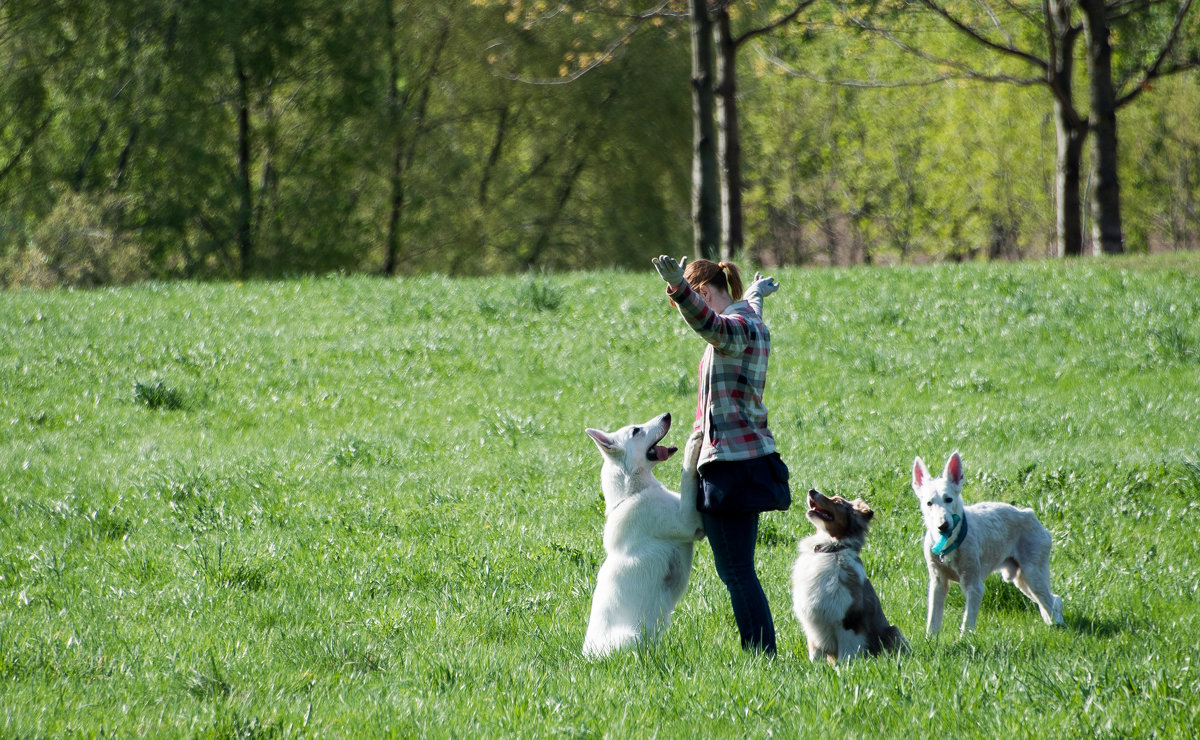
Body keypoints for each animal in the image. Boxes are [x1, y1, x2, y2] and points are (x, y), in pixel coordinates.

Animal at [578, 410, 700, 657]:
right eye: (636, 430)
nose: (667, 414)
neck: (631, 495)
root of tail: (587, 658)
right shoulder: (689, 522)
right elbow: (686, 475)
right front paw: (692, 446)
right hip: (631, 638)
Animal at [792, 486, 902, 662]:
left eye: (837, 500)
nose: (811, 490)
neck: (831, 549)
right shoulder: (813, 623)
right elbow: (815, 656)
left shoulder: (848, 621)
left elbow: (847, 654)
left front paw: (845, 667)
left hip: (893, 631)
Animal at [912, 450, 1065, 633]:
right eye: (929, 503)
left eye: (948, 499)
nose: (943, 526)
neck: (951, 542)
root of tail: (1032, 516)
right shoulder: (937, 582)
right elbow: (932, 621)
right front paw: (930, 638)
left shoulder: (974, 584)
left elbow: (967, 623)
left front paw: (964, 638)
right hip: (1022, 579)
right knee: (1054, 599)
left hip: (1033, 572)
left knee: (1049, 601)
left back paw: (1057, 625)